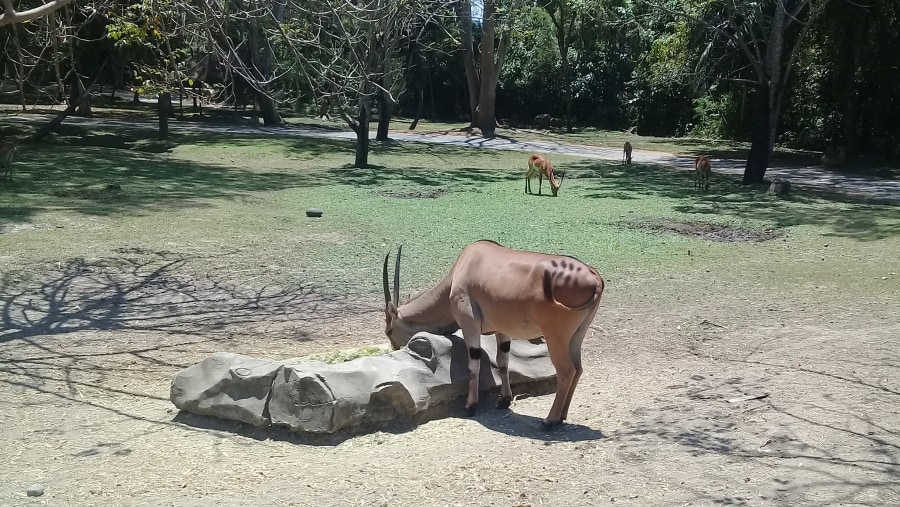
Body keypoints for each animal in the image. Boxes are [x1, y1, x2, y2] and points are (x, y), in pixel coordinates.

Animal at [382, 241, 604, 428]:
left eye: (389, 330)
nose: (395, 348)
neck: (462, 270)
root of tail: (594, 276)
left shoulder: (470, 324)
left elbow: (474, 364)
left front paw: (470, 406)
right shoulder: (502, 330)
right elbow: (503, 362)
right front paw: (504, 400)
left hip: (555, 336)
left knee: (566, 371)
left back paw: (550, 420)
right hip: (576, 336)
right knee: (578, 369)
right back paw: (562, 416)